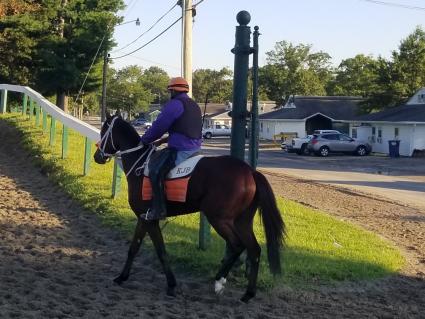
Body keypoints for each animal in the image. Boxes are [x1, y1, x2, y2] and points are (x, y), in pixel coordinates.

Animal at [93, 114, 284, 304]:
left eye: (104, 130)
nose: (98, 156)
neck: (140, 165)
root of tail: (250, 172)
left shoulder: (150, 220)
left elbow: (161, 251)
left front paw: (171, 285)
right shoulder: (143, 218)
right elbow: (134, 248)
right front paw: (122, 277)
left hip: (219, 219)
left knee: (237, 246)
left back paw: (219, 282)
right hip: (242, 221)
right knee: (254, 249)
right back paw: (248, 293)